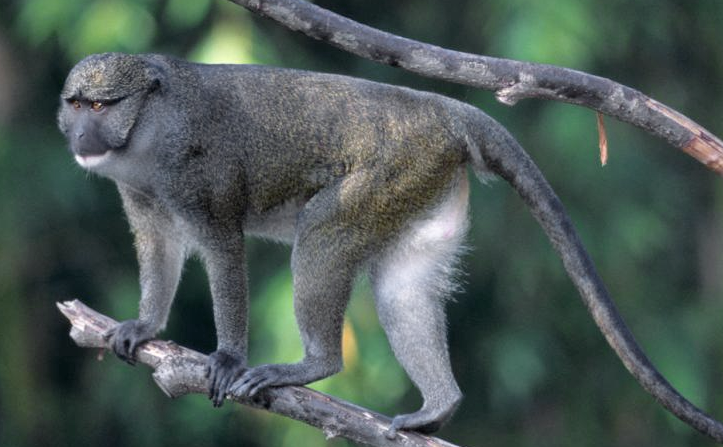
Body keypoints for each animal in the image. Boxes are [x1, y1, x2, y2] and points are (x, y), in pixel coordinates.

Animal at [59, 52, 723, 440]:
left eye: (101, 104)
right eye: (76, 104)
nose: (82, 133)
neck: (148, 131)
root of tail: (442, 108)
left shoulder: (201, 177)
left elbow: (222, 248)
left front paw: (225, 358)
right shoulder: (141, 193)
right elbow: (156, 243)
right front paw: (146, 326)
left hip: (390, 172)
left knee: (321, 236)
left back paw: (316, 364)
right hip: (421, 183)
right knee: (403, 287)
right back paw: (439, 407)